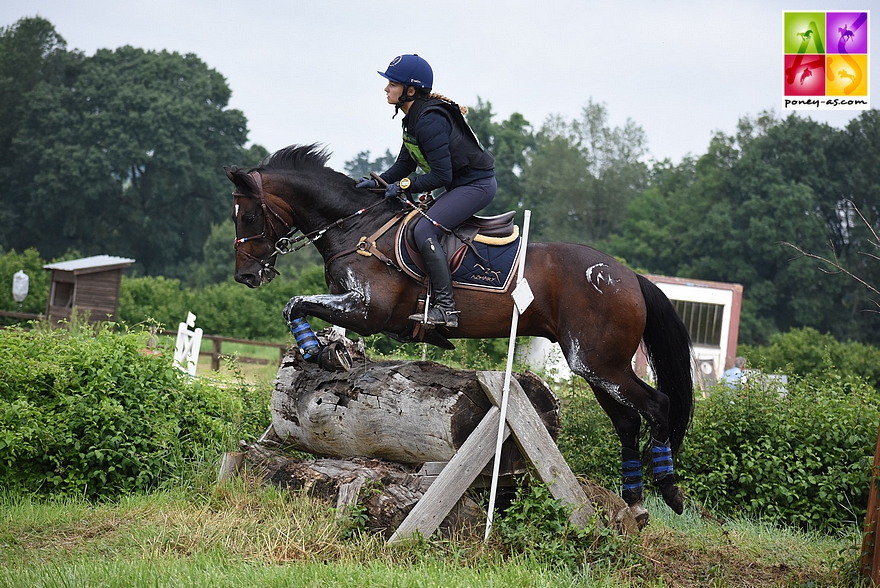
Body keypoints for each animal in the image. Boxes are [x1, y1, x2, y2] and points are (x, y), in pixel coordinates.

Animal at [227, 142, 696, 524]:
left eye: (248, 215)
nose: (246, 276)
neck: (354, 226)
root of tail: (628, 277)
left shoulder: (367, 310)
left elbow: (295, 304)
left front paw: (319, 352)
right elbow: (300, 308)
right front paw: (328, 350)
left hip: (599, 362)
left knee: (657, 406)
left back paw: (668, 490)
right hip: (596, 365)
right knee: (627, 422)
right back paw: (634, 502)